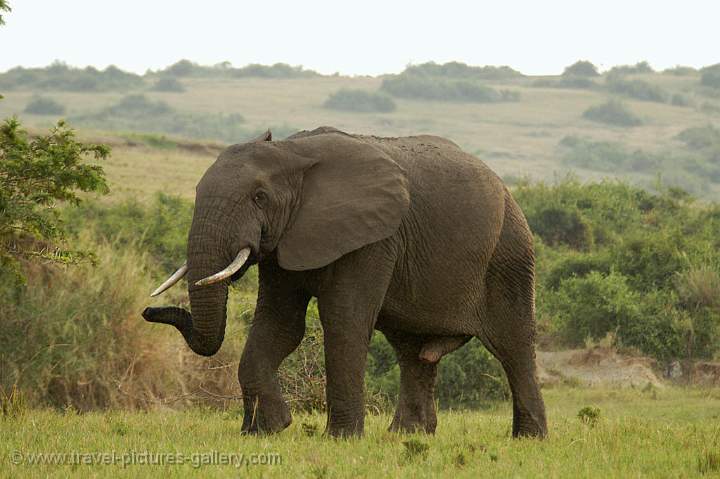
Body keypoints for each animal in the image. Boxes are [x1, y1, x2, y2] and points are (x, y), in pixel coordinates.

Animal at [142, 124, 544, 438]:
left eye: (260, 197)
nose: (148, 311)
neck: (292, 152)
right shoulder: (286, 239)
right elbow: (279, 325)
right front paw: (265, 430)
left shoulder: (373, 237)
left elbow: (344, 321)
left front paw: (341, 438)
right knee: (412, 351)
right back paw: (407, 436)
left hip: (510, 252)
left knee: (513, 345)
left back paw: (528, 438)